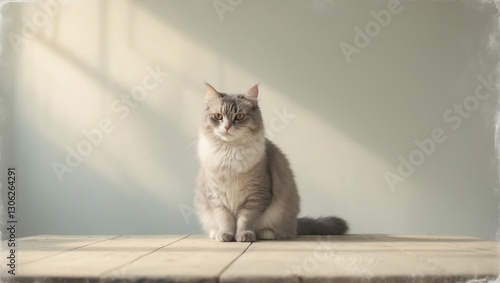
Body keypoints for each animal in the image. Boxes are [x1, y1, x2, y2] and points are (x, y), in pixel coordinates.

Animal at [195, 84, 348, 242]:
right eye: (218, 116)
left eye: (239, 117)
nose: (227, 127)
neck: (230, 153)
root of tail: (295, 223)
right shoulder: (217, 197)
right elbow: (225, 220)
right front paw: (226, 235)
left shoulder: (255, 196)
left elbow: (246, 220)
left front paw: (244, 235)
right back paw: (215, 233)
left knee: (282, 231)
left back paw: (265, 234)